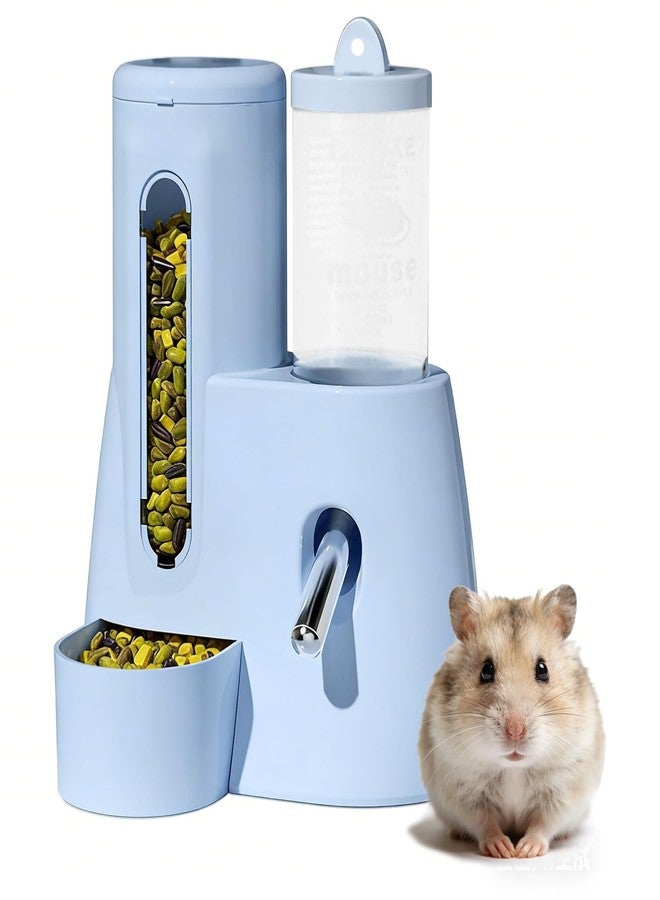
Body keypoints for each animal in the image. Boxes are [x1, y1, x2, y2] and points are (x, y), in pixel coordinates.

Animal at [418, 585, 604, 858]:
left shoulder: (563, 790)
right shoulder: (464, 791)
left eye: (542, 669)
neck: (513, 768)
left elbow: (543, 823)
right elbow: (484, 822)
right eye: (486, 670)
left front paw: (526, 851)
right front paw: (504, 850)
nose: (515, 731)